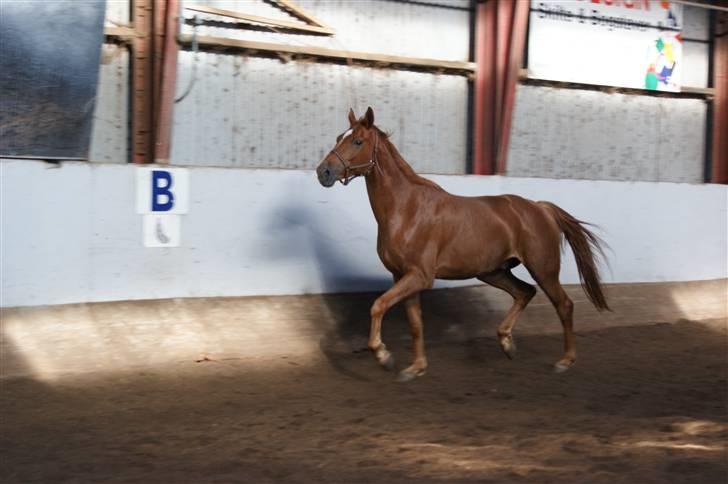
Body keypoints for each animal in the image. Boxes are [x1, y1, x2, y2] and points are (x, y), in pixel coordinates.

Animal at [318, 108, 608, 380]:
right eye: (339, 137)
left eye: (357, 141)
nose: (324, 172)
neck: (407, 209)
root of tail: (540, 208)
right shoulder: (402, 276)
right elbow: (415, 323)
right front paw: (416, 368)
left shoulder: (419, 276)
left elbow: (378, 305)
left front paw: (383, 355)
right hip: (493, 271)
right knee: (525, 292)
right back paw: (506, 342)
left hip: (543, 269)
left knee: (564, 305)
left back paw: (565, 361)